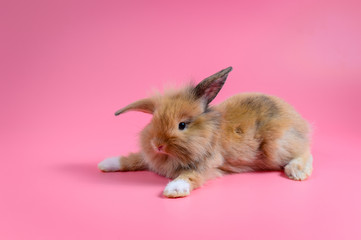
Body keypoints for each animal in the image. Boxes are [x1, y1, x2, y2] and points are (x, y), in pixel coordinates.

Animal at [98, 66, 312, 198]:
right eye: (153, 120)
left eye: (182, 125)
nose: (157, 145)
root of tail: (301, 122)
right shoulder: (148, 158)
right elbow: (133, 159)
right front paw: (106, 163)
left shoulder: (207, 166)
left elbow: (190, 176)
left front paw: (174, 189)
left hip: (277, 148)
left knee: (305, 152)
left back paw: (297, 172)